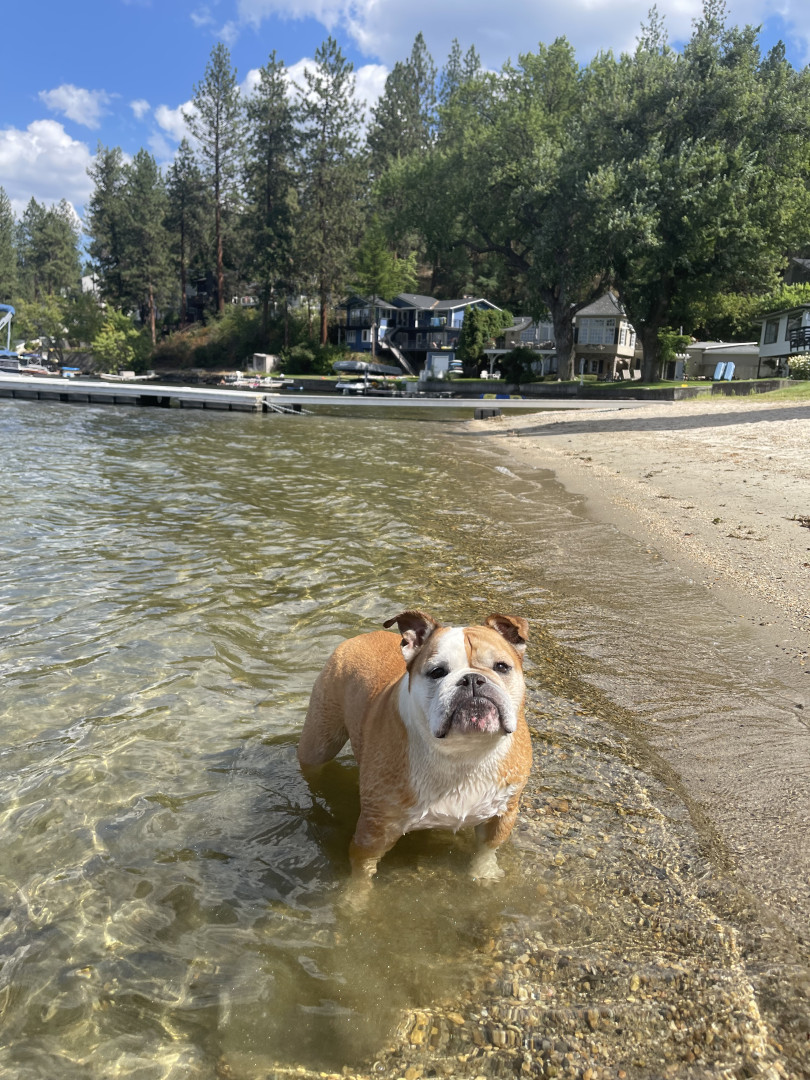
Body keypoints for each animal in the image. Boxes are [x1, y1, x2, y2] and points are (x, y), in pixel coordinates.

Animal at [297, 610, 531, 885]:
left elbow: (487, 848)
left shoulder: (503, 813)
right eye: (437, 672)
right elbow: (362, 872)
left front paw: (484, 873)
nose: (472, 679)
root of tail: (362, 637)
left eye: (501, 667)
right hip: (318, 742)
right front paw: (353, 896)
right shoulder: (374, 832)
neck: (463, 752)